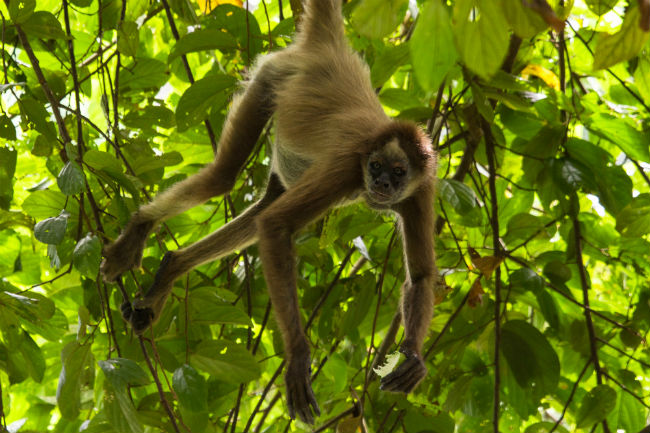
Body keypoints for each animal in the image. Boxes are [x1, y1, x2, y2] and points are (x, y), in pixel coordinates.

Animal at [100, 0, 436, 424]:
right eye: (375, 167)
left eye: (398, 171)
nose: (382, 186)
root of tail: (332, 49)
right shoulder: (346, 166)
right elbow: (276, 225)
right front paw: (298, 359)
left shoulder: (422, 187)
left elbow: (421, 277)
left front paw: (413, 357)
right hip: (269, 79)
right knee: (224, 179)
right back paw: (139, 230)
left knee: (262, 205)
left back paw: (170, 270)